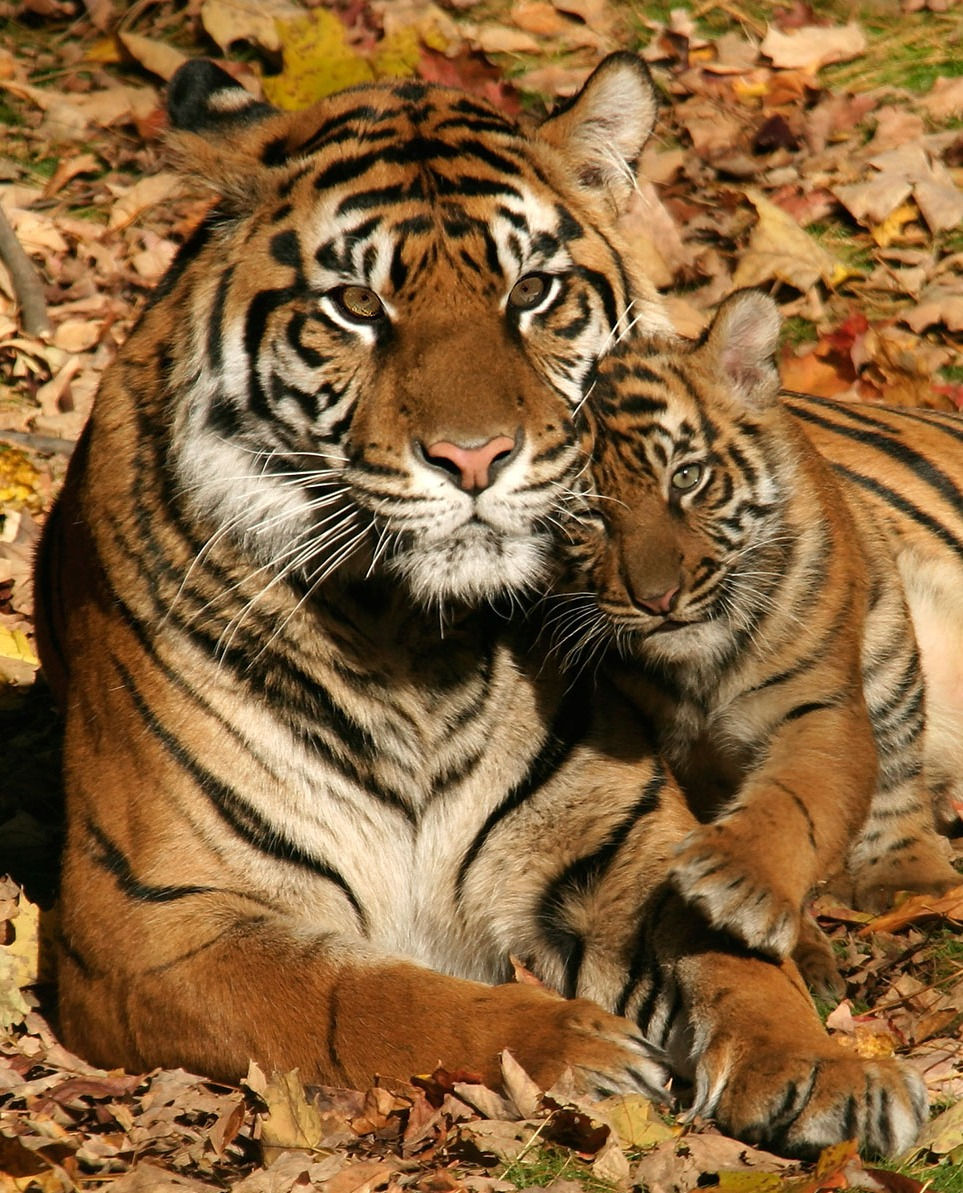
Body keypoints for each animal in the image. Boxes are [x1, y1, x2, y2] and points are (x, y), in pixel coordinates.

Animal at [554, 288, 961, 982]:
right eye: (587, 514)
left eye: (686, 478)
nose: (657, 599)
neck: (700, 667)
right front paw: (797, 949)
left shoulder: (819, 704)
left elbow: (797, 800)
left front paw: (736, 880)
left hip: (889, 647)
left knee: (899, 770)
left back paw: (912, 878)